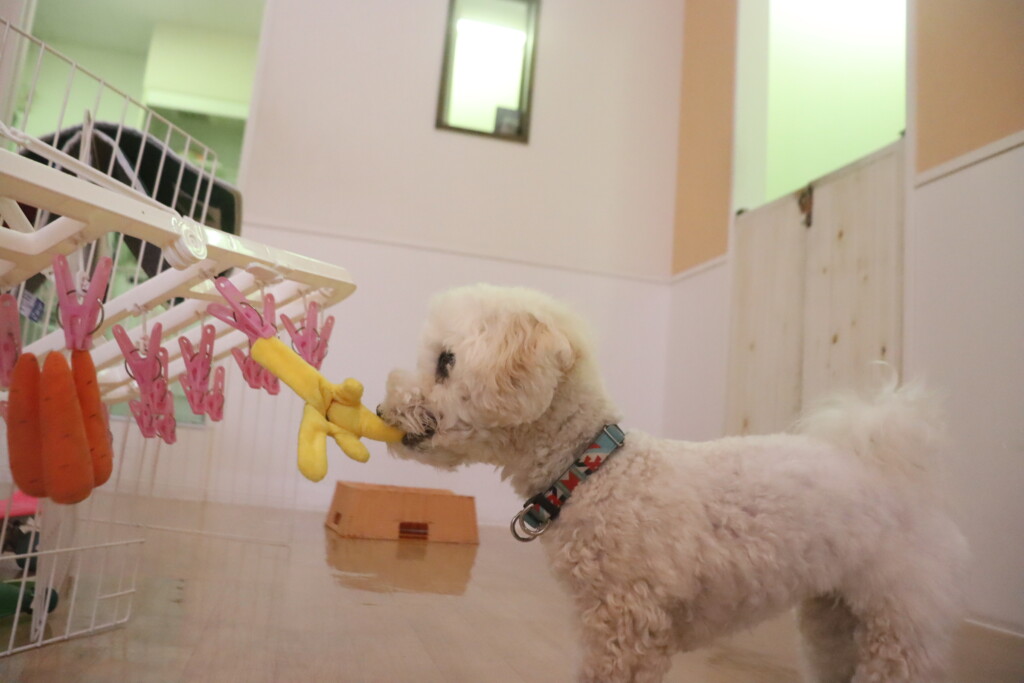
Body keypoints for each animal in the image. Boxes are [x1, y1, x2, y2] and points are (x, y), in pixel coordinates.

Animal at [378, 284, 968, 683]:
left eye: (446, 362)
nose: (383, 410)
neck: (592, 468)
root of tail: (882, 463)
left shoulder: (627, 624)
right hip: (833, 618)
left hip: (896, 619)